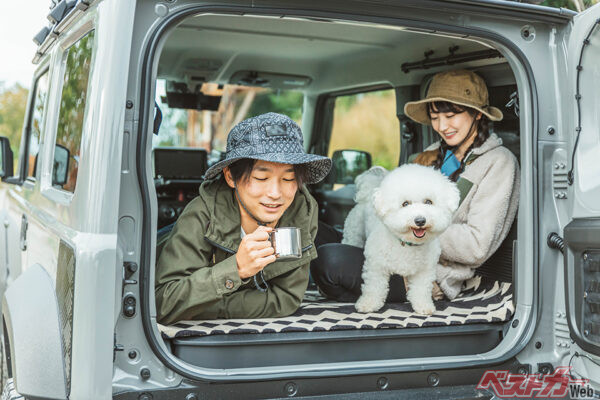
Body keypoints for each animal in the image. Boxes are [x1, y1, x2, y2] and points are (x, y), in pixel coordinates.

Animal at [346, 164, 460, 314]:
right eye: (405, 204)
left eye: (428, 202)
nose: (420, 220)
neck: (407, 243)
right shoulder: (376, 267)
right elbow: (374, 287)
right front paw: (368, 304)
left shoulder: (424, 271)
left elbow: (421, 289)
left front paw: (423, 306)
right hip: (354, 233)